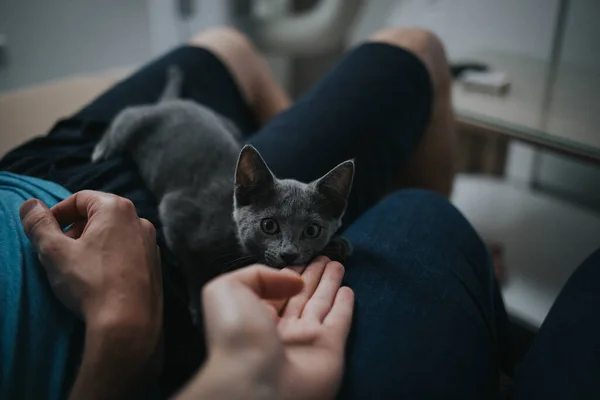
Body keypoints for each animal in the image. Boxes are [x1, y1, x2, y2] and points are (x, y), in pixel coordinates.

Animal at [90, 65, 352, 322]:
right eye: (269, 225)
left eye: (311, 230)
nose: (289, 254)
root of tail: (172, 102)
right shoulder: (176, 219)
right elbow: (193, 268)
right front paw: (200, 305)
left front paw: (336, 245)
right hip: (138, 121)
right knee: (124, 117)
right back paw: (102, 149)